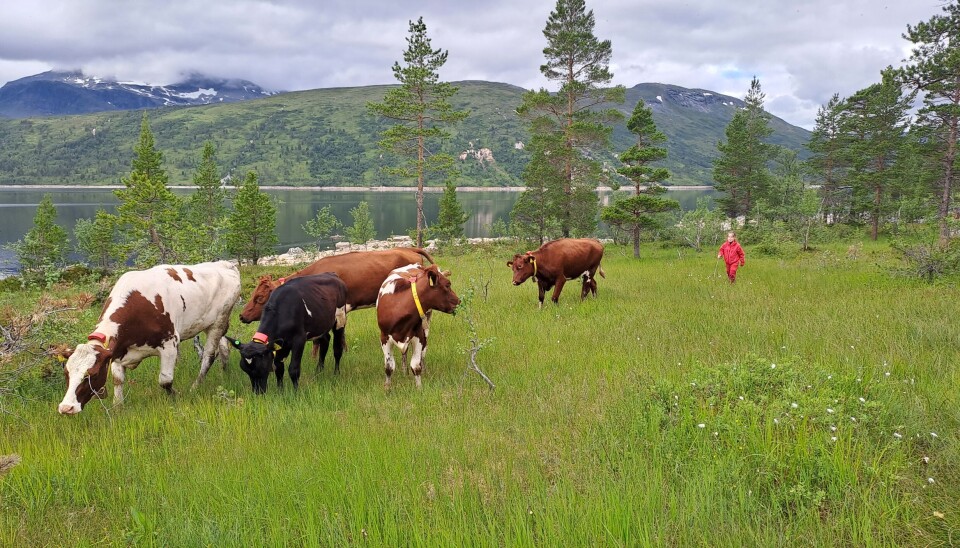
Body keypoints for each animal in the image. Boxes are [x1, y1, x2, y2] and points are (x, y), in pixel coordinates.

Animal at [56, 262, 242, 416]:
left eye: (92, 374)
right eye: (66, 373)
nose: (66, 408)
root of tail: (225, 264)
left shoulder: (170, 343)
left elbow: (165, 380)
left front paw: (176, 395)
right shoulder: (116, 352)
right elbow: (117, 379)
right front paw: (117, 407)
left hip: (219, 321)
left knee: (208, 356)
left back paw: (195, 386)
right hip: (213, 324)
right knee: (223, 347)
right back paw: (224, 371)